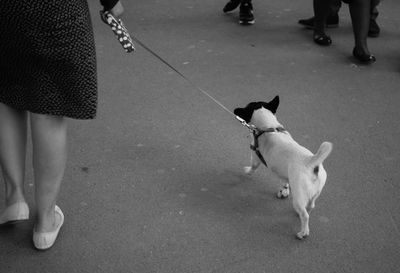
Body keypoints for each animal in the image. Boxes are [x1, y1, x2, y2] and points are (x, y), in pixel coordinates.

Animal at [233, 95, 332, 238]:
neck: (269, 126)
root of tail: (311, 162)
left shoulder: (256, 157)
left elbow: (253, 167)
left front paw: (247, 171)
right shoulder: (284, 173)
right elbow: (284, 181)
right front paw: (284, 190)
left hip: (298, 196)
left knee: (305, 215)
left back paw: (303, 232)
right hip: (315, 192)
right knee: (311, 206)